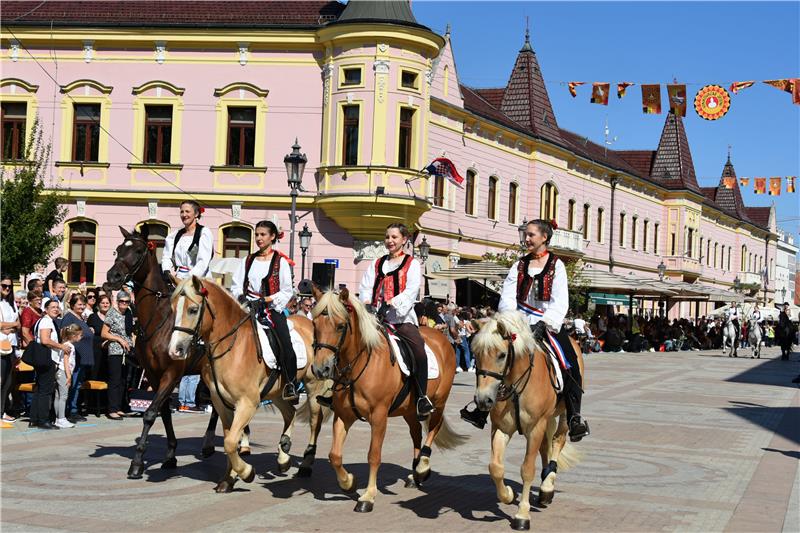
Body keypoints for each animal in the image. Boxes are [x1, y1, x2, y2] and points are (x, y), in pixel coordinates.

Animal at [106, 225, 234, 478]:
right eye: (117, 249)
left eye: (138, 251)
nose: (112, 277)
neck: (158, 319)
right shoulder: (154, 375)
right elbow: (163, 412)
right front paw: (170, 455)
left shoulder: (172, 374)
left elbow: (149, 414)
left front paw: (137, 462)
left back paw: (211, 444)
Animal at [167, 274, 330, 490]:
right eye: (172, 308)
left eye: (193, 310)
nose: (174, 350)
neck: (231, 347)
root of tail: (310, 322)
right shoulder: (222, 403)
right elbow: (229, 440)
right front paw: (228, 478)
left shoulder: (247, 403)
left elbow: (230, 442)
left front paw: (246, 472)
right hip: (276, 391)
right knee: (290, 413)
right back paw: (283, 457)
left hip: (312, 386)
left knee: (314, 422)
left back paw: (305, 465)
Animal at [310, 286, 466, 512]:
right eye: (314, 324)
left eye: (340, 326)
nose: (320, 369)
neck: (360, 365)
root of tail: (441, 337)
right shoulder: (343, 416)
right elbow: (335, 455)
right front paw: (348, 482)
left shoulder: (379, 417)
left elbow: (373, 455)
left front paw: (368, 496)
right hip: (409, 410)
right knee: (416, 434)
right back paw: (414, 473)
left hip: (438, 402)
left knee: (433, 429)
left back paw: (422, 467)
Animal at [468, 310, 588, 528]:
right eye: (476, 354)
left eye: (502, 355)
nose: (483, 400)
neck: (515, 385)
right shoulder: (501, 428)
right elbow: (495, 467)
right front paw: (507, 495)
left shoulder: (535, 428)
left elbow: (527, 469)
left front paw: (522, 514)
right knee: (545, 447)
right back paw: (545, 488)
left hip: (564, 415)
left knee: (557, 441)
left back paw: (548, 485)